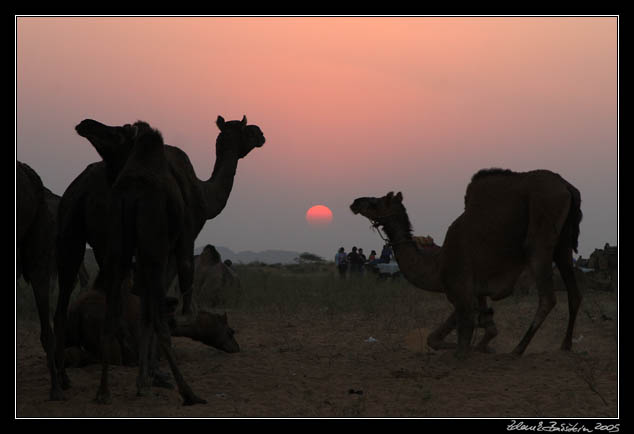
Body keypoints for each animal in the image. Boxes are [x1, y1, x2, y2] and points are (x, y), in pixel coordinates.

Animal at [350, 168, 584, 358]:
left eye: (375, 202)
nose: (355, 202)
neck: (437, 264)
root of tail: (568, 188)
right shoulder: (472, 290)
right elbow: (449, 335)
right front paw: (484, 346)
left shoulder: (458, 287)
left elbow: (462, 341)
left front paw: (472, 348)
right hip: (563, 245)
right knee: (574, 293)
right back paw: (565, 345)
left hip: (540, 234)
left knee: (547, 297)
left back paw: (518, 349)